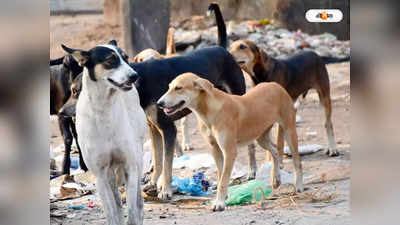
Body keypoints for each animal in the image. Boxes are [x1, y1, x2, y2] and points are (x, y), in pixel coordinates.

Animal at [63, 40, 148, 225]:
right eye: (110, 60)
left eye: (126, 58)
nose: (135, 76)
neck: (104, 108)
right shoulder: (100, 175)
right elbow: (112, 212)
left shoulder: (130, 167)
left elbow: (132, 211)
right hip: (109, 175)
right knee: (117, 202)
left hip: (137, 159)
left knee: (137, 202)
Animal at [157, 73, 304, 211]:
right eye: (169, 87)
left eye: (178, 88)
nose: (159, 103)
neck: (209, 111)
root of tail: (275, 85)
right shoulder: (215, 149)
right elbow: (221, 175)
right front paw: (224, 197)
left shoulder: (229, 151)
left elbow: (223, 180)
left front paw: (220, 203)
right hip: (261, 137)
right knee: (274, 150)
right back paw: (276, 179)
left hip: (289, 130)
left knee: (297, 161)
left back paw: (299, 186)